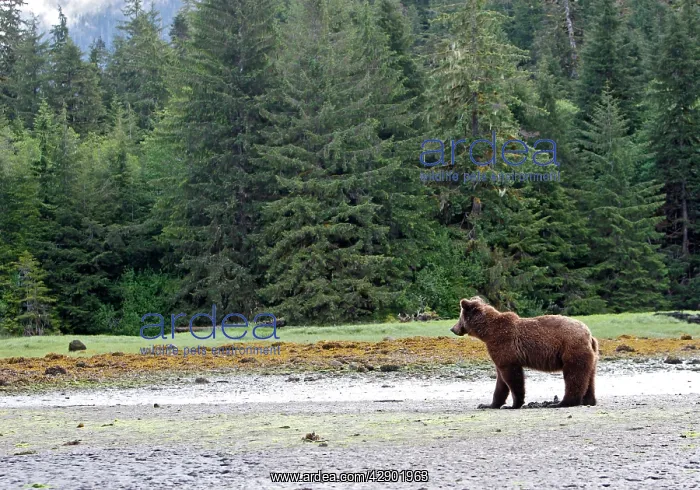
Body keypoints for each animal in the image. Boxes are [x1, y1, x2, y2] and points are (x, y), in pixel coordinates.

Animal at [450, 296, 598, 409]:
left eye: (459, 317)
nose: (452, 328)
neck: (488, 332)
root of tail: (589, 336)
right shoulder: (498, 352)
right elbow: (501, 381)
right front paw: (489, 404)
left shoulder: (504, 346)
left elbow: (512, 376)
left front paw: (514, 404)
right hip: (591, 356)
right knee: (589, 377)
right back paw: (589, 401)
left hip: (572, 349)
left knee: (574, 375)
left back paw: (562, 403)